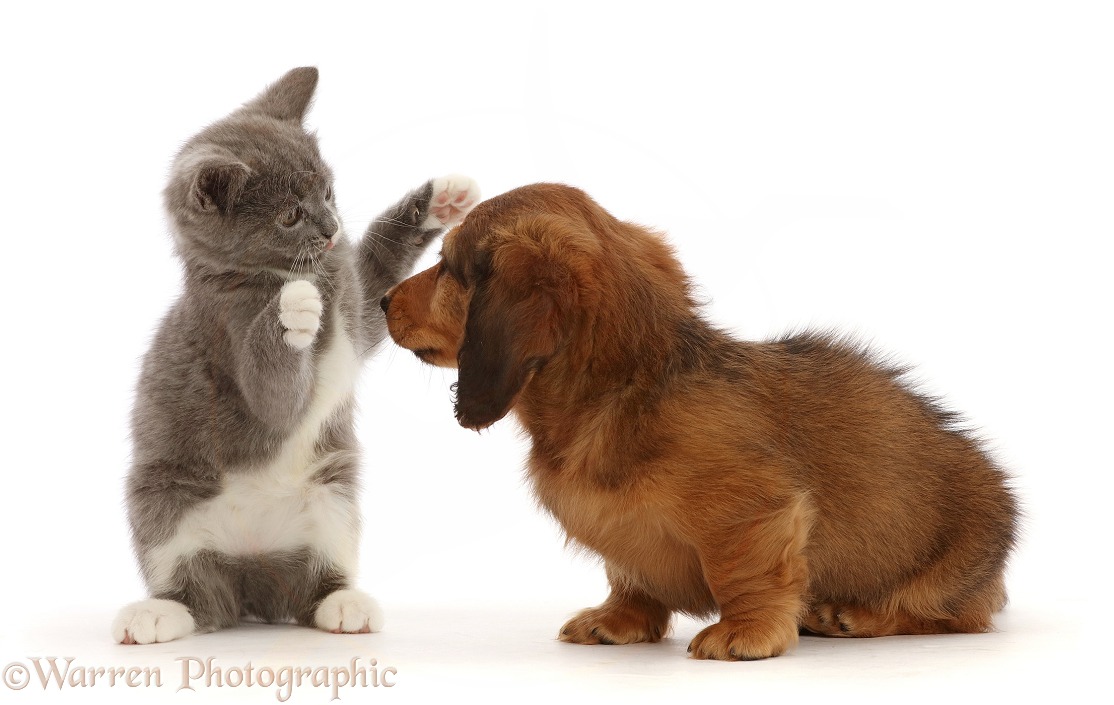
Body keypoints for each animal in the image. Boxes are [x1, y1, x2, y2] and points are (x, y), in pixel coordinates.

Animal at [113, 67, 479, 641]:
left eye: (328, 192)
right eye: (289, 215)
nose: (330, 228)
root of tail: (252, 571)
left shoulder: (356, 306)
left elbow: (378, 270)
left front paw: (442, 199)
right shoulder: (227, 334)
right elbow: (276, 398)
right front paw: (292, 310)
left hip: (333, 498)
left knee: (312, 586)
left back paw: (342, 602)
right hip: (161, 500)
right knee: (195, 594)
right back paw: (158, 611)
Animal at [380, 181, 1020, 659]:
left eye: (446, 267)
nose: (382, 299)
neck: (623, 388)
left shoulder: (751, 512)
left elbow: (743, 573)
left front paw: (746, 632)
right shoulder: (625, 538)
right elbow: (629, 575)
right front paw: (618, 620)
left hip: (947, 578)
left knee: (943, 616)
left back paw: (853, 615)